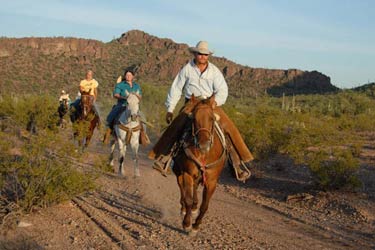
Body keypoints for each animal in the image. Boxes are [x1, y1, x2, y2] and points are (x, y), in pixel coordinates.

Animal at [173, 95, 228, 234]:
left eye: (212, 118)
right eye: (194, 118)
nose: (204, 145)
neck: (204, 155)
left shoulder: (212, 181)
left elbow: (205, 206)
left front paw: (196, 225)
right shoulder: (187, 173)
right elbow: (187, 198)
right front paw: (187, 223)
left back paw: (194, 207)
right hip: (179, 171)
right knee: (182, 188)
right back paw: (184, 209)